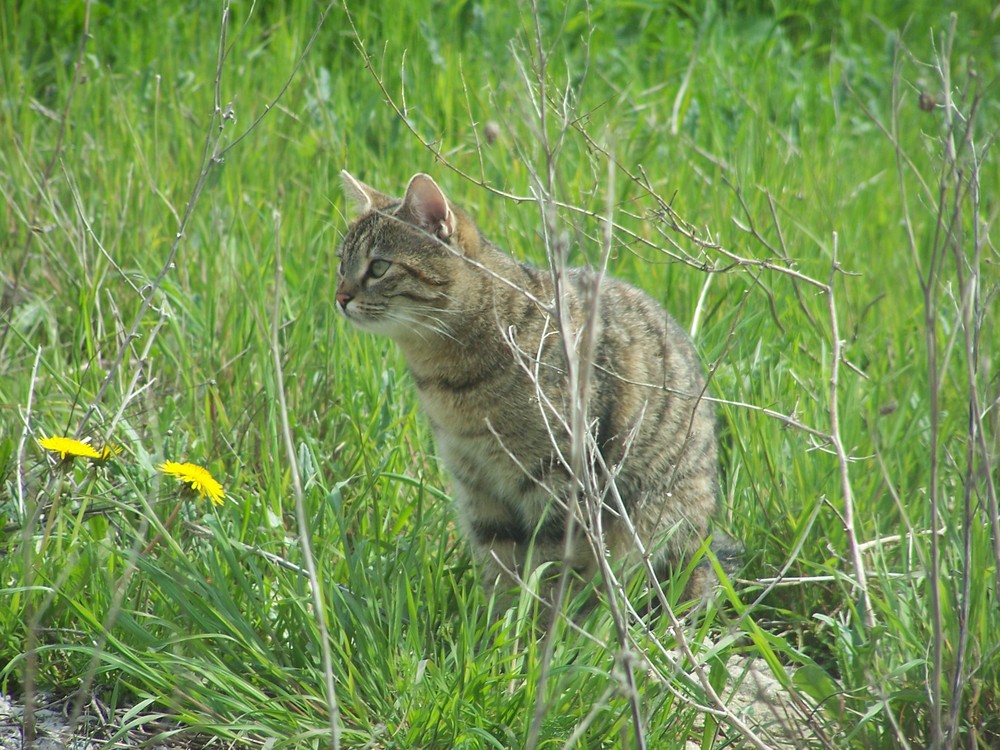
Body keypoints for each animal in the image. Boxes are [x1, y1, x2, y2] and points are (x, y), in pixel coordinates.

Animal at [332, 172, 732, 612]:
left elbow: (549, 573)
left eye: (378, 267)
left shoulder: (558, 481)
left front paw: (538, 628)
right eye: (341, 264)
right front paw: (498, 624)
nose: (340, 297)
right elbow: (500, 567)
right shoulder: (478, 486)